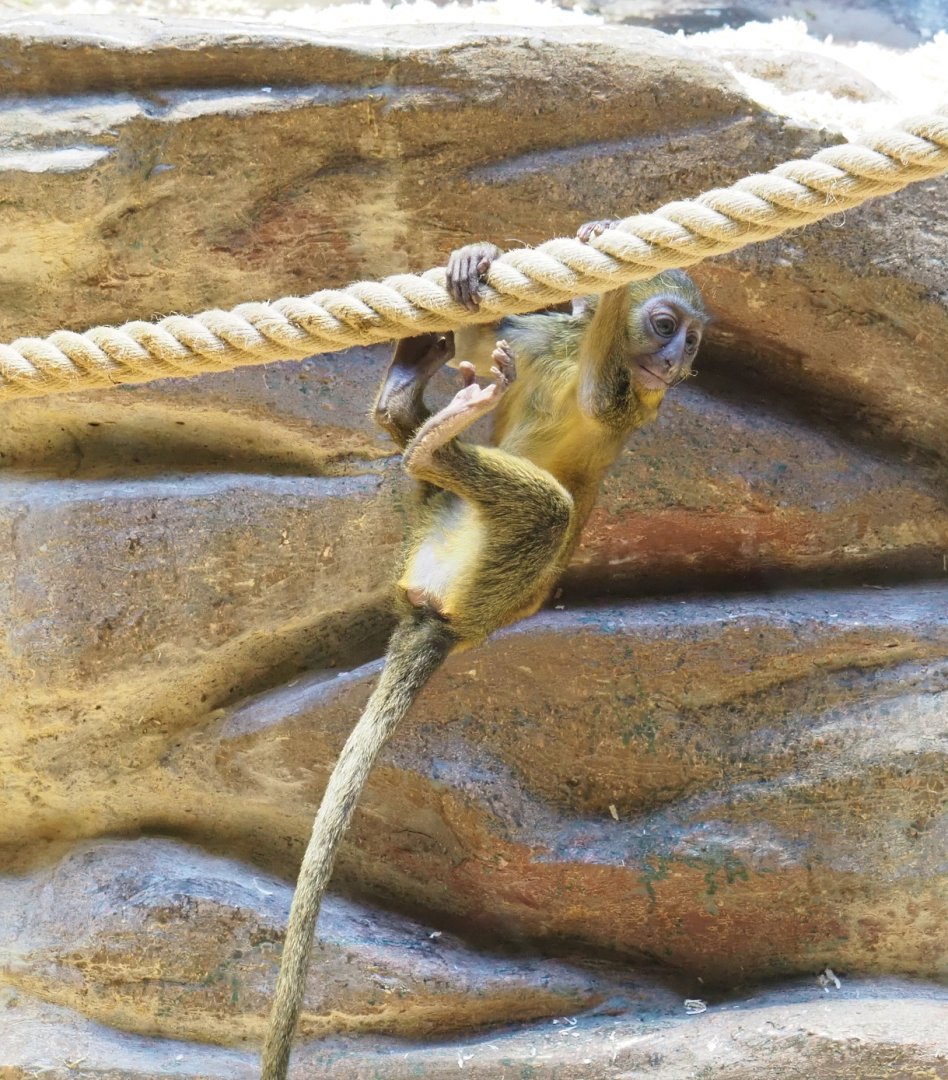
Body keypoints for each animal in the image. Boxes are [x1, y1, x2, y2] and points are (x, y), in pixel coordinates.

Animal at [260, 222, 708, 1080]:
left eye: (690, 340)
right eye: (668, 327)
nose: (675, 363)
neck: (571, 351)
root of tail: (449, 621)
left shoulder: (636, 398)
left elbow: (603, 399)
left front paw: (602, 272)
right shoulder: (535, 341)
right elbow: (489, 339)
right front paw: (486, 265)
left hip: (503, 583)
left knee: (550, 509)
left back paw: (429, 440)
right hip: (435, 533)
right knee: (451, 479)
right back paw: (407, 408)